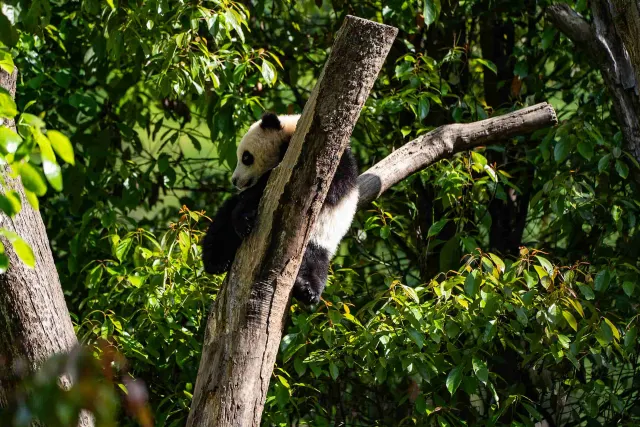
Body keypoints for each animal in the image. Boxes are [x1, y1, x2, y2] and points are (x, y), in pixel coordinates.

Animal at [202, 112, 359, 304]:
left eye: (246, 157)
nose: (235, 180)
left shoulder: (332, 166)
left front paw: (244, 219)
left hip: (321, 237)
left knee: (314, 260)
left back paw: (308, 290)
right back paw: (216, 261)